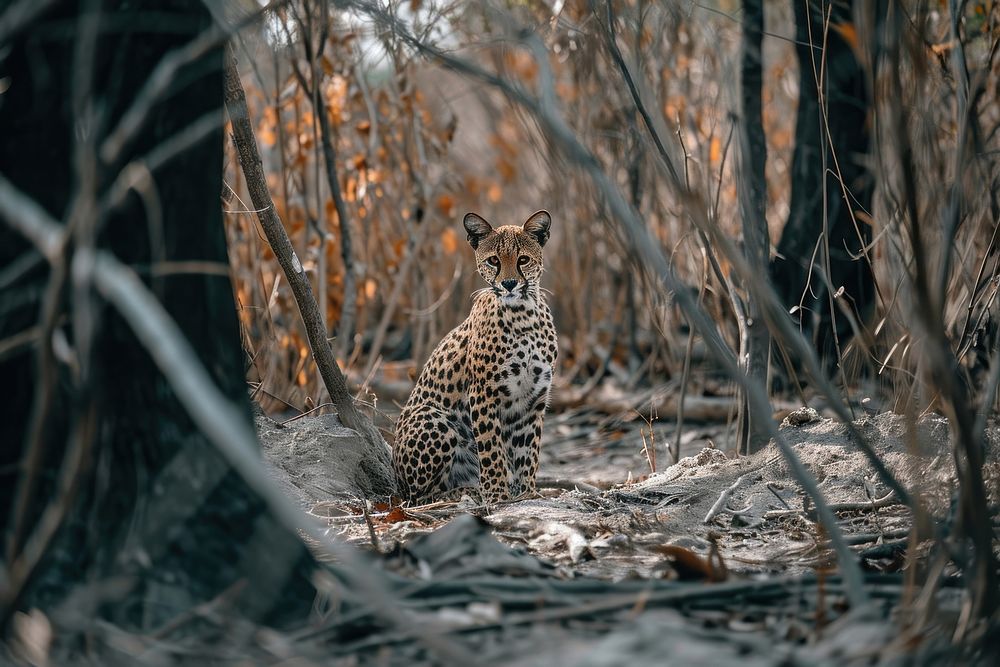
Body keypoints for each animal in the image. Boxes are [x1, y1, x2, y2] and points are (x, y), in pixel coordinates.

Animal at [392, 211, 564, 504]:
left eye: (523, 260)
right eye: (494, 260)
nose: (509, 284)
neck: (523, 315)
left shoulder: (534, 398)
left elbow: (529, 450)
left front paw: (527, 492)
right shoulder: (483, 392)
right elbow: (491, 448)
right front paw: (497, 495)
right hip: (433, 416)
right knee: (421, 495)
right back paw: (468, 492)